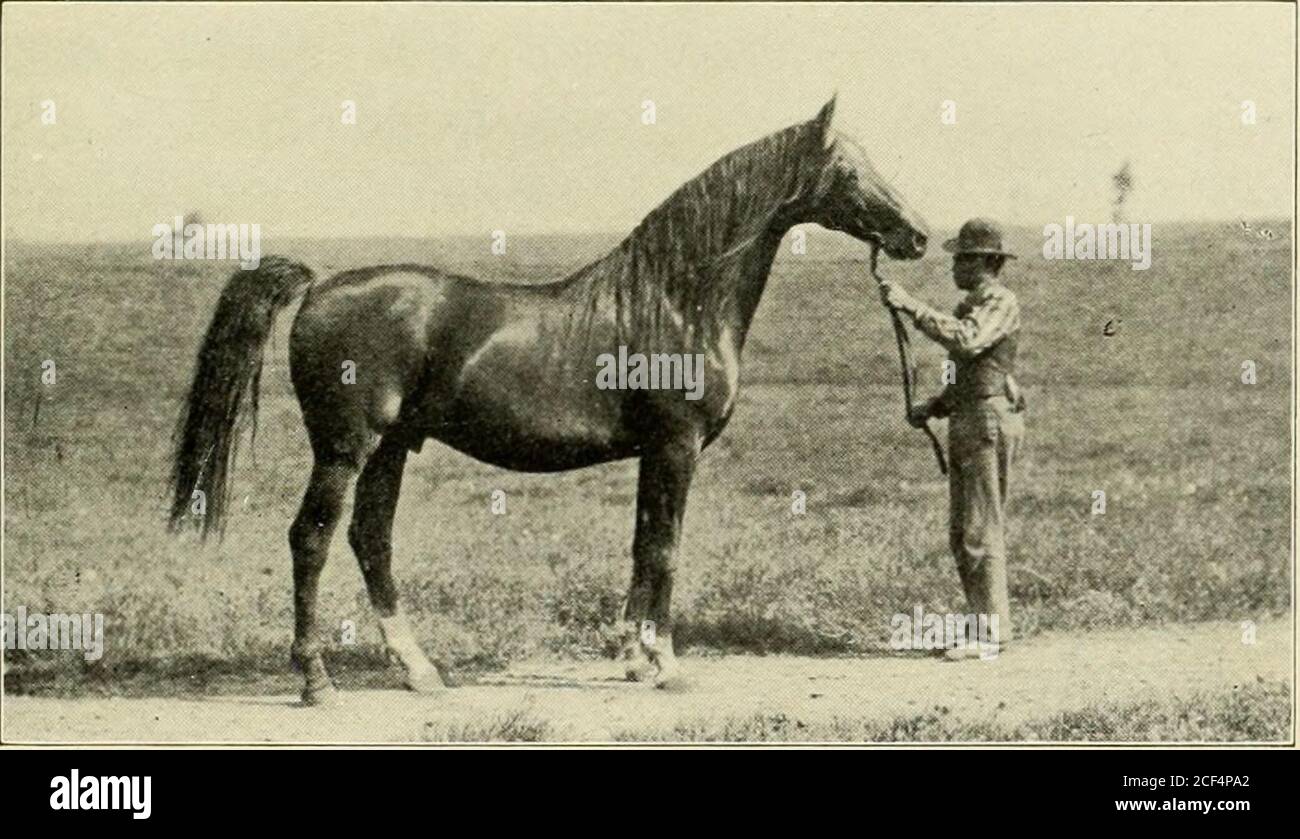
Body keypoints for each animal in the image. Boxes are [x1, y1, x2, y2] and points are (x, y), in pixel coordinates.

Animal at [167, 96, 929, 704]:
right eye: (848, 169)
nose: (917, 234)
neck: (672, 300)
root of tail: (319, 283)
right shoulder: (675, 445)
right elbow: (664, 550)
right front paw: (665, 664)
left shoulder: (654, 453)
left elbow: (641, 545)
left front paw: (631, 656)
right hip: (345, 447)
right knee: (313, 538)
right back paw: (317, 681)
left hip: (393, 446)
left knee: (370, 539)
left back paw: (419, 671)